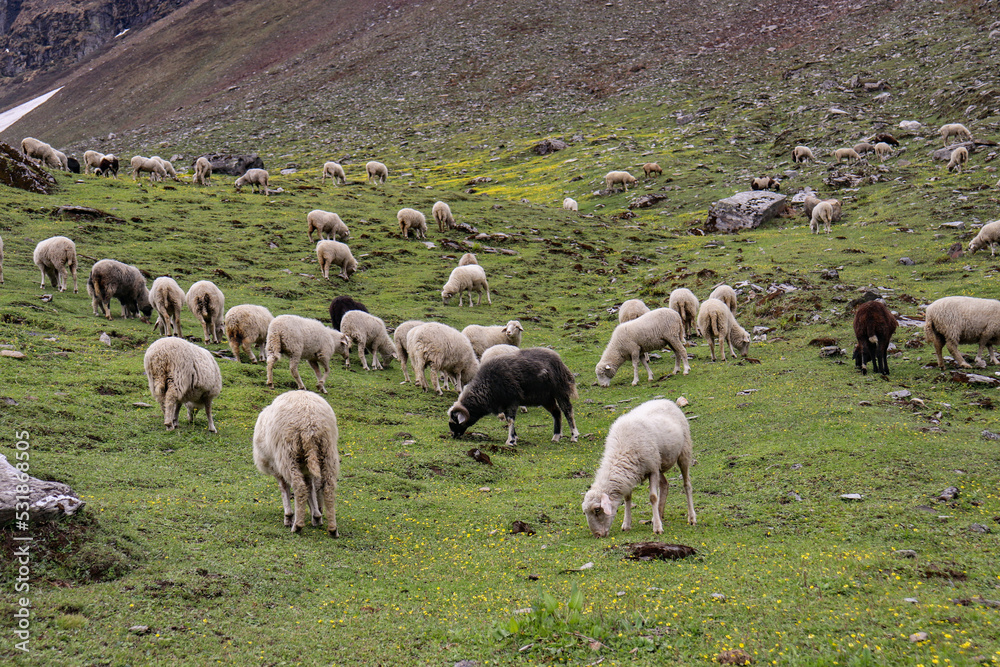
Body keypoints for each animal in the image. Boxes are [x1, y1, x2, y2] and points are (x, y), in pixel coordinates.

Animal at [252, 390, 340, 535]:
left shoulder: (276, 468)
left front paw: (288, 517)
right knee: (328, 488)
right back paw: (333, 529)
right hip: (328, 451)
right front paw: (316, 516)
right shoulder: (307, 471)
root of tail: (309, 423)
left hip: (288, 454)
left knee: (299, 487)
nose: (321, 510)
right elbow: (310, 488)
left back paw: (297, 525)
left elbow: (284, 488)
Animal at [448, 347, 578, 447]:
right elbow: (508, 420)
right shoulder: (504, 404)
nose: (454, 436)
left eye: (455, 420)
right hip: (546, 398)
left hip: (560, 391)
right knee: (556, 412)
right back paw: (556, 436)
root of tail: (558, 358)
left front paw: (510, 441)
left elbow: (510, 420)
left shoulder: (512, 401)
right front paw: (515, 437)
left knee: (567, 410)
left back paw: (574, 436)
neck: (487, 386)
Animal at [581, 399, 695, 537]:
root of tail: (665, 400)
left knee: (687, 484)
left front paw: (657, 528)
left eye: (597, 510)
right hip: (659, 462)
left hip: (683, 452)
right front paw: (626, 524)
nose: (597, 535)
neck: (621, 451)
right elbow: (627, 498)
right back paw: (658, 515)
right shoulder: (630, 474)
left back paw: (691, 518)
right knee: (665, 484)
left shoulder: (652, 470)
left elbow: (653, 497)